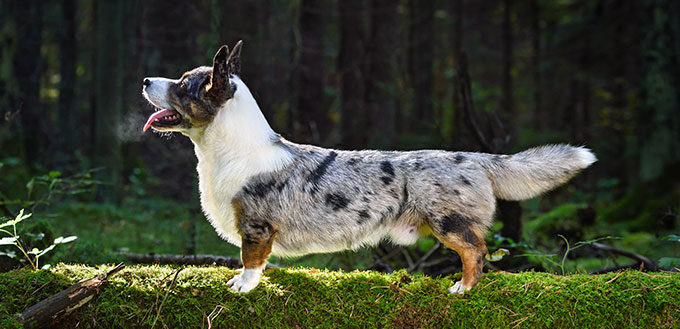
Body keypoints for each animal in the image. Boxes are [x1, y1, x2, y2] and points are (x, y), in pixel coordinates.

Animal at [143, 40, 596, 292]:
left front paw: (243, 286)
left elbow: (251, 260)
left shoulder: (256, 227)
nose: (146, 80)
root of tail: (477, 158)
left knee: (476, 250)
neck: (229, 150)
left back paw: (463, 289)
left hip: (448, 222)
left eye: (184, 84)